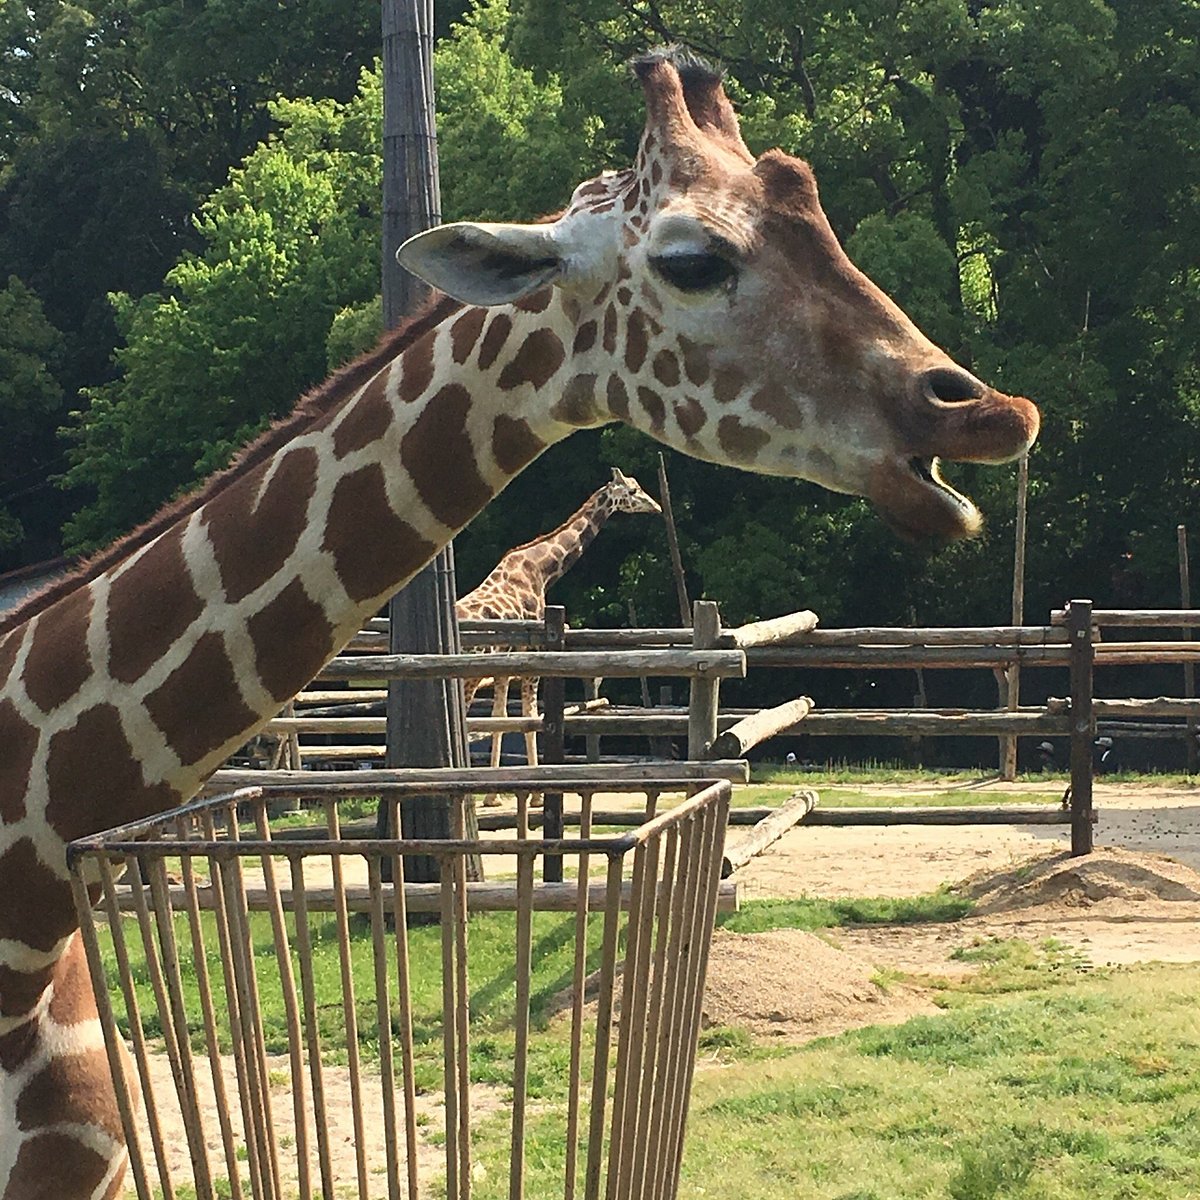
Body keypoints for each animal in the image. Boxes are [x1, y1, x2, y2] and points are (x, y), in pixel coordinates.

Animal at [458, 468, 667, 777]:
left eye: (638, 486)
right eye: (632, 491)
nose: (657, 506)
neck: (542, 572)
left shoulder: (504, 666)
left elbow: (500, 718)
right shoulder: (533, 656)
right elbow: (530, 718)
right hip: (467, 678)